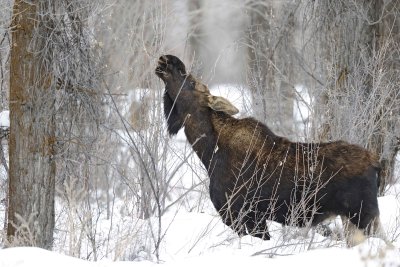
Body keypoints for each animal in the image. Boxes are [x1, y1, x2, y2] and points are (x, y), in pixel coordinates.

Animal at [155, 54, 384, 247]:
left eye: (192, 82)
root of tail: (376, 162)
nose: (168, 59)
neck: (209, 152)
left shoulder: (243, 216)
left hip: (363, 215)